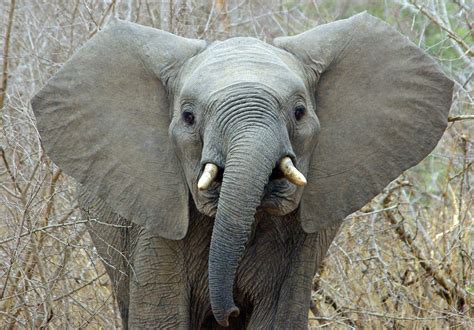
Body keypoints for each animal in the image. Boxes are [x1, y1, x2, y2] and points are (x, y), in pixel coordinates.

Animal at [30, 12, 452, 328]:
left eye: (299, 112)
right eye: (188, 117)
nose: (230, 311)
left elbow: (279, 316)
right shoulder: (152, 219)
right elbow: (160, 316)